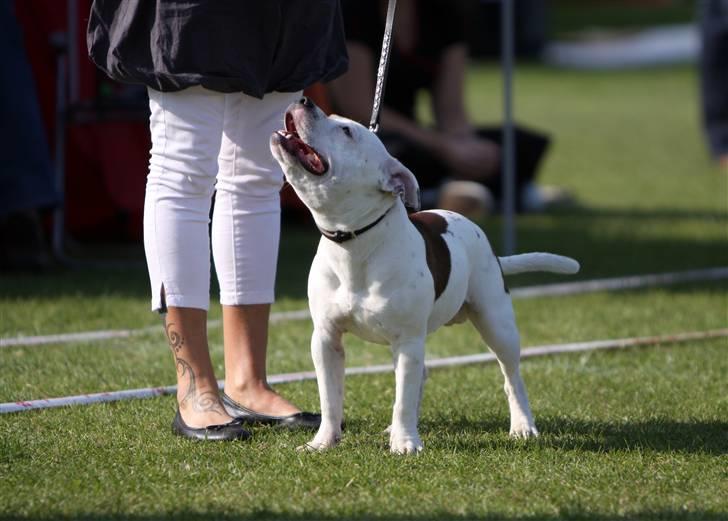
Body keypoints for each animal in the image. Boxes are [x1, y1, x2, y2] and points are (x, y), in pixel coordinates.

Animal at [270, 96, 576, 450]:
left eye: (346, 131)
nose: (303, 99)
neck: (354, 242)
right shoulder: (325, 339)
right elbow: (330, 397)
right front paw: (323, 442)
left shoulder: (407, 340)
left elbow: (402, 397)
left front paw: (405, 444)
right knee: (421, 375)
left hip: (496, 324)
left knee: (511, 375)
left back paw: (523, 425)